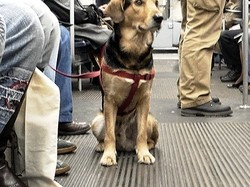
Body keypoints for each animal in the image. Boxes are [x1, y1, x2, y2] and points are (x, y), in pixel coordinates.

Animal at [91, 0, 163, 166]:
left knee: (150, 139)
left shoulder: (144, 99)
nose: (160, 17)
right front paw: (108, 155)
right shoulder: (110, 100)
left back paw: (144, 147)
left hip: (151, 120)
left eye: (156, 3)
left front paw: (144, 153)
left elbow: (141, 133)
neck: (135, 48)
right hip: (97, 121)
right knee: (105, 136)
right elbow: (109, 134)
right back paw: (101, 146)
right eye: (138, 2)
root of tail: (124, 144)